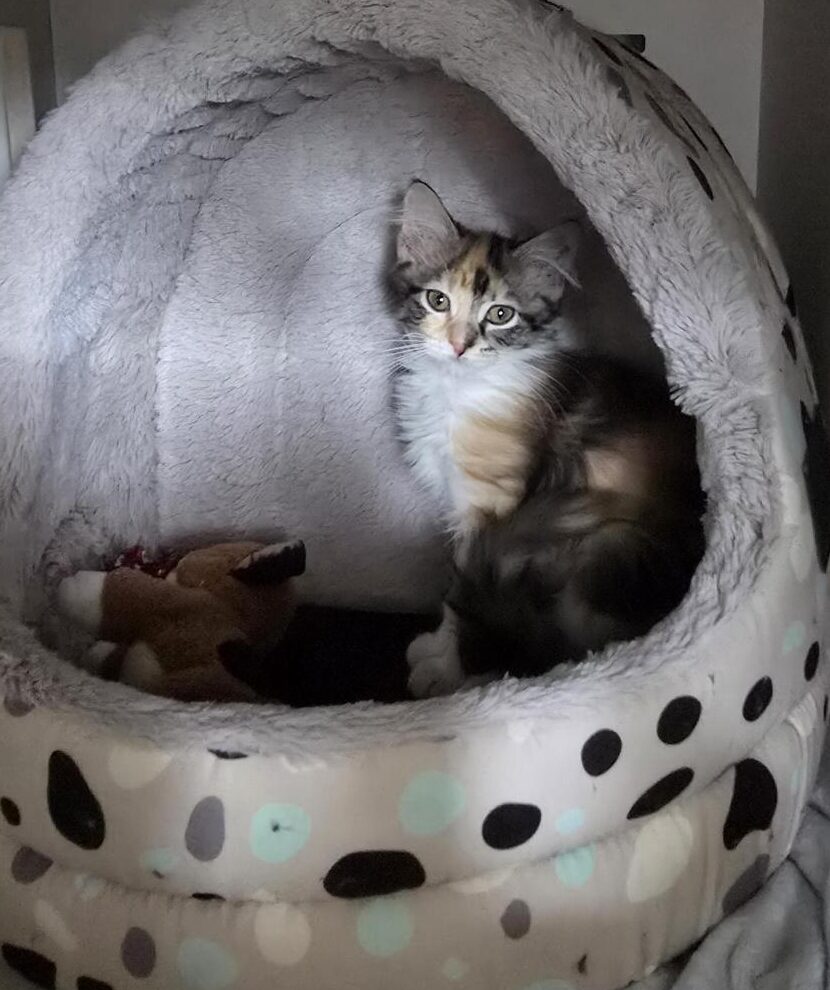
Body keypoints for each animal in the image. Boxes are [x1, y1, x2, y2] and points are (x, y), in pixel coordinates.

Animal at [390, 181, 705, 697]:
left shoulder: (492, 508)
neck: (456, 390)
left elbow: (461, 589)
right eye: (438, 301)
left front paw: (446, 668)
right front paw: (439, 649)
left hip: (606, 547)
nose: (458, 345)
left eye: (500, 315)